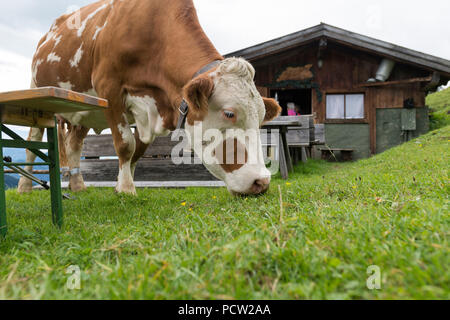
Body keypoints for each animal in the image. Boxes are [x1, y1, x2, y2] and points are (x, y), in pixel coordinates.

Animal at [21, 0, 284, 196]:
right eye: (229, 113)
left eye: (262, 117)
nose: (261, 182)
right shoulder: (110, 90)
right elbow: (125, 144)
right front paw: (127, 189)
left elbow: (138, 150)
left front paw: (121, 185)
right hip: (36, 90)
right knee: (32, 142)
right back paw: (25, 188)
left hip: (85, 111)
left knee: (74, 144)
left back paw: (78, 186)